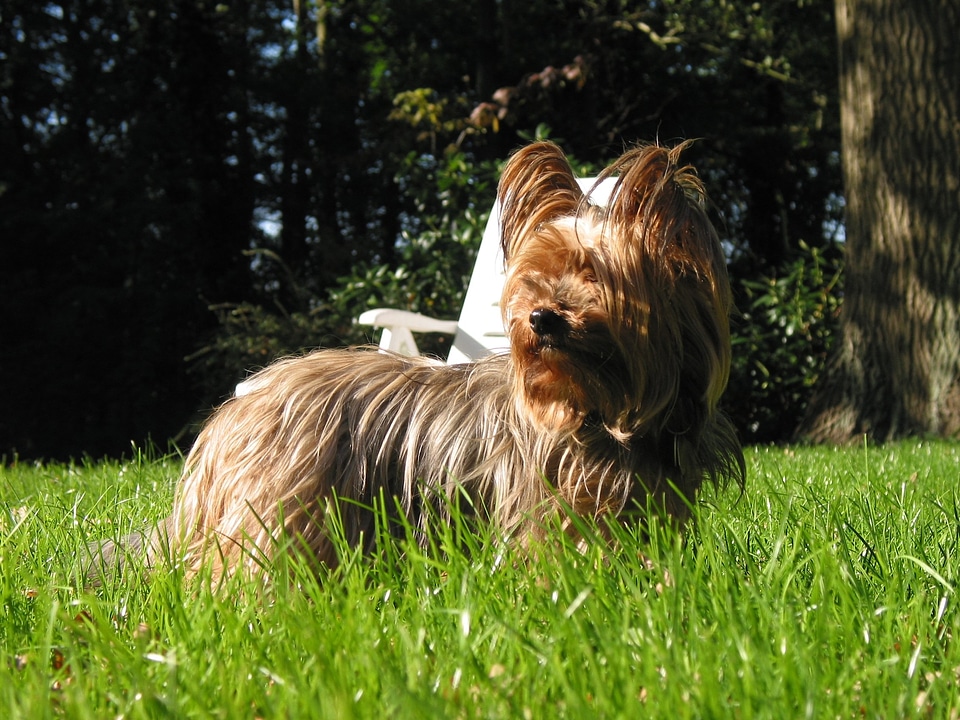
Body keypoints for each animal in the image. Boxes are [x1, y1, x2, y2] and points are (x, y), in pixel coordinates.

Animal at [148, 141, 744, 580]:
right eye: (536, 276)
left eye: (594, 275)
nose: (541, 318)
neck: (602, 408)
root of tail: (233, 413)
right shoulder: (551, 507)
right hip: (284, 501)